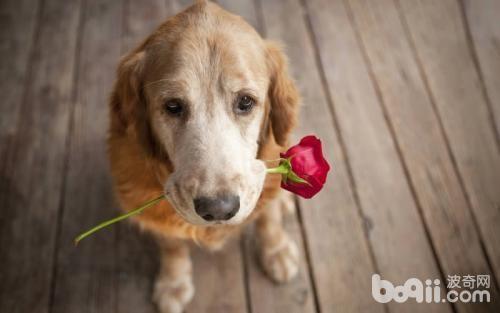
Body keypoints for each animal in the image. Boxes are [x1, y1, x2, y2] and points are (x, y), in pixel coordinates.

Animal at [107, 1, 298, 310]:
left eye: (246, 101)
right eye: (173, 106)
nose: (219, 209)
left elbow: (267, 218)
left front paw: (276, 250)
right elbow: (171, 244)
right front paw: (173, 282)